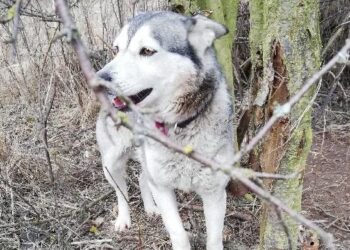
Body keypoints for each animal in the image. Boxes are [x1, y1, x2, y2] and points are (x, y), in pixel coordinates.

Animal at [95, 11, 235, 250]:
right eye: (116, 49)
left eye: (147, 51)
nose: (98, 80)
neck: (179, 126)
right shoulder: (163, 188)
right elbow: (178, 234)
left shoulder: (214, 193)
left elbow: (214, 238)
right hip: (110, 164)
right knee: (120, 191)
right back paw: (123, 219)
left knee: (142, 178)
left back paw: (151, 208)